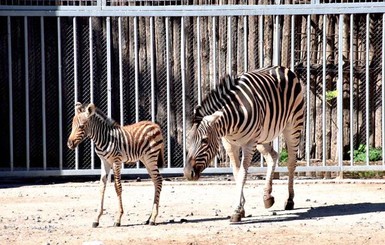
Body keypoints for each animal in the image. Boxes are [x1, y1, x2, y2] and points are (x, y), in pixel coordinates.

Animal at [184, 66, 304, 223]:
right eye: (188, 140)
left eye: (204, 140)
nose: (187, 173)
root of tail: (282, 68)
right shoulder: (229, 144)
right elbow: (236, 173)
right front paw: (241, 208)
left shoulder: (249, 143)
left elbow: (242, 174)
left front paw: (236, 211)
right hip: (263, 136)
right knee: (273, 156)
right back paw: (267, 197)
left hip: (293, 126)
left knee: (291, 162)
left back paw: (289, 200)